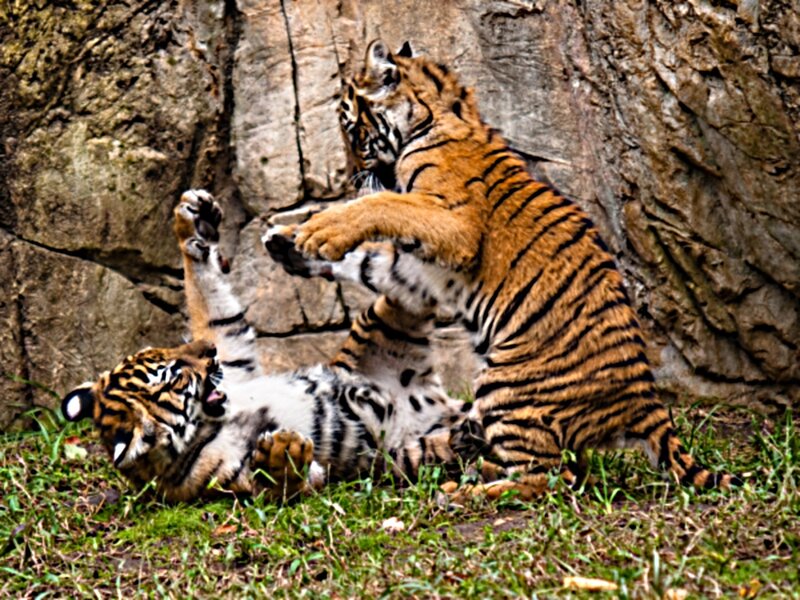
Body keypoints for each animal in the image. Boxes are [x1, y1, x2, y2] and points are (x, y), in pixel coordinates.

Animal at [61, 189, 473, 502]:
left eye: (164, 354)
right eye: (175, 374)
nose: (207, 353)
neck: (214, 419)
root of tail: (438, 402)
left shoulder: (232, 354)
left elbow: (213, 310)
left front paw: (192, 223)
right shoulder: (234, 477)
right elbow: (284, 483)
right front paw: (282, 452)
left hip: (381, 322)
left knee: (405, 272)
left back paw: (291, 242)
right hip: (405, 449)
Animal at [264, 40, 741, 499]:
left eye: (351, 131)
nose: (348, 176)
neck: (438, 113)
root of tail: (645, 398)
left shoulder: (452, 226)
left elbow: (383, 204)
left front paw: (318, 230)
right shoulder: (417, 273)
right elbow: (367, 261)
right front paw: (284, 243)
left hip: (506, 387)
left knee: (551, 479)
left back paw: (463, 493)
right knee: (562, 470)